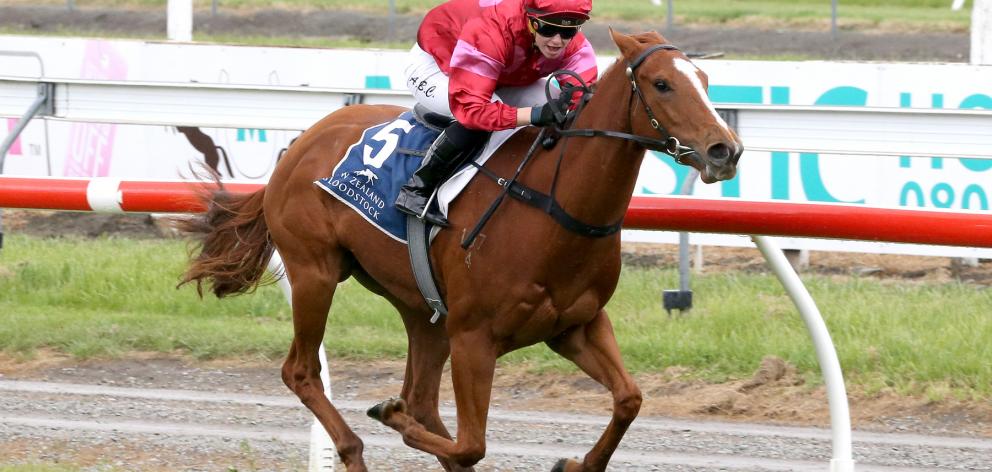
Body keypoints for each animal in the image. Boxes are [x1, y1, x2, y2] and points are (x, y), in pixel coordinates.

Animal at [176, 31, 736, 470]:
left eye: (707, 83)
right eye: (662, 84)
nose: (725, 150)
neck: (551, 205)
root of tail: (301, 143)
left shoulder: (577, 325)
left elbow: (629, 399)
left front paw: (577, 462)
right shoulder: (473, 337)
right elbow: (471, 444)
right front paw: (390, 413)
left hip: (421, 307)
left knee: (423, 398)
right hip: (315, 271)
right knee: (302, 371)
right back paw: (355, 446)